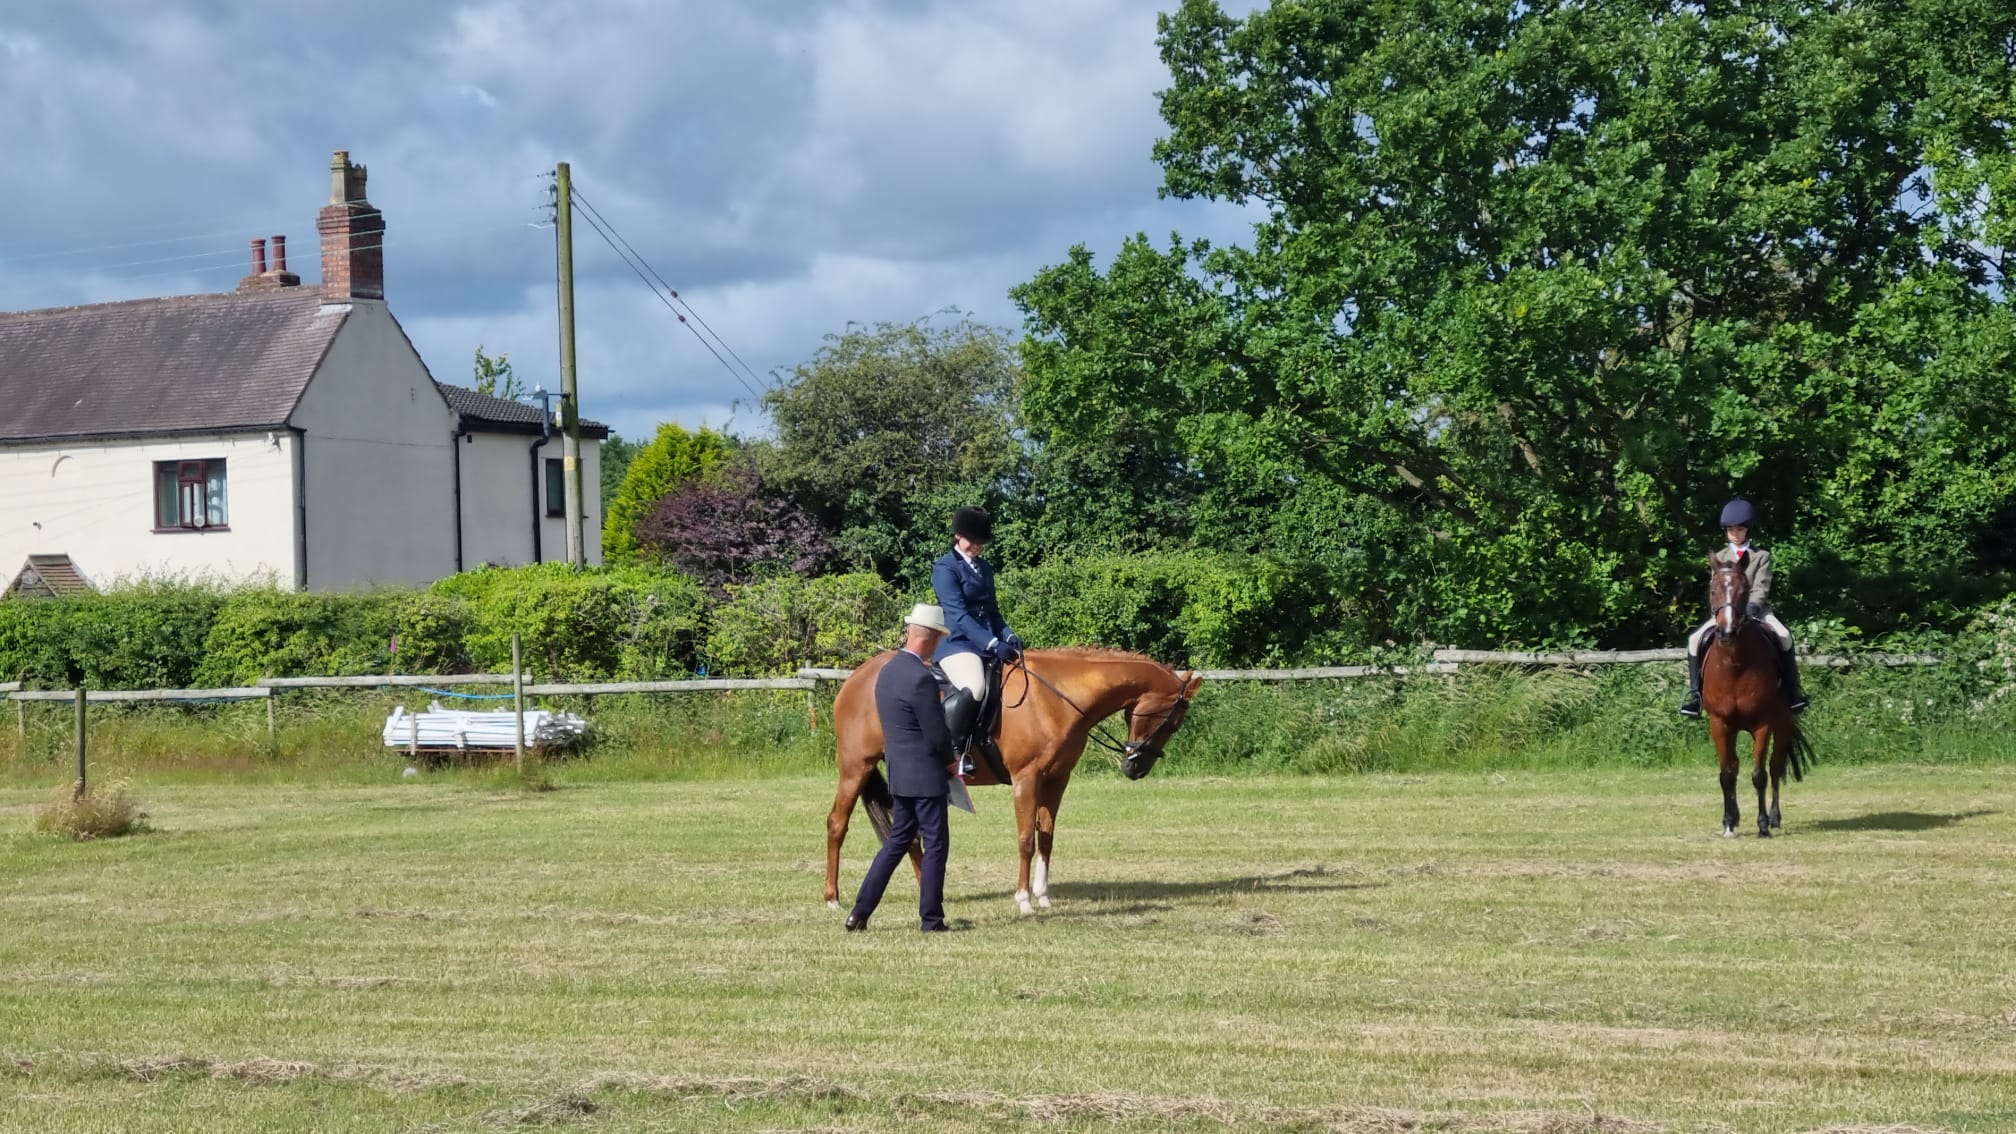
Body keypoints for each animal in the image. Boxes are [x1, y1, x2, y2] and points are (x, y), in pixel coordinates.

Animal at [818, 645, 1193, 908]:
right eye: (1171, 722)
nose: (1135, 768)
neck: (1056, 698)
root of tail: (855, 678)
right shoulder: (1027, 779)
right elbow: (1026, 838)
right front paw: (1023, 899)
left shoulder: (1057, 780)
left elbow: (1047, 837)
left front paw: (1043, 896)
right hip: (855, 767)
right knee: (837, 823)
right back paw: (833, 898)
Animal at [1701, 556, 1814, 835]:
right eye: (1713, 590)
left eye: (1744, 591)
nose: (1727, 633)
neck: (1735, 664)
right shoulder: (1719, 724)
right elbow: (1726, 774)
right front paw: (1728, 823)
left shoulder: (1762, 725)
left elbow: (1759, 775)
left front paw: (1762, 825)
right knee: (1736, 767)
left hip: (1783, 723)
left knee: (1775, 767)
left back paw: (1774, 818)